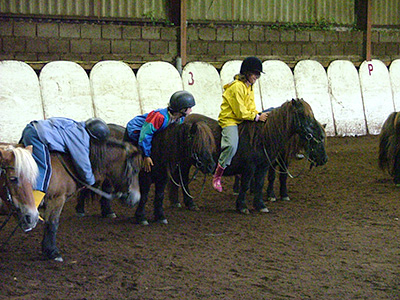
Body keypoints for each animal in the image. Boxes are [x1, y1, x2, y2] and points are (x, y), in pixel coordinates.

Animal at [169, 98, 328, 213]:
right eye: (304, 115)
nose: (324, 159)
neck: (262, 137)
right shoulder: (249, 167)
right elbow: (245, 185)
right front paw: (242, 206)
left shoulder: (263, 166)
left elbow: (260, 183)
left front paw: (260, 205)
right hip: (185, 163)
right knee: (183, 179)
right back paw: (190, 203)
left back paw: (176, 202)